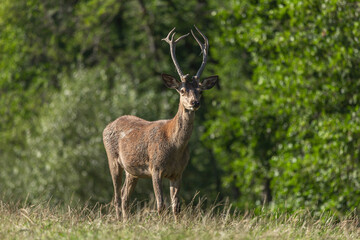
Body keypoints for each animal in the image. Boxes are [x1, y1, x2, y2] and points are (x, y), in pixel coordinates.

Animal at [102, 26, 218, 219]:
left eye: (201, 91)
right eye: (182, 90)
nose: (195, 103)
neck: (174, 145)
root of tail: (107, 126)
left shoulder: (178, 172)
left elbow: (176, 207)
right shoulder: (155, 167)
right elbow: (161, 205)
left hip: (132, 171)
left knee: (125, 197)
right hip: (113, 159)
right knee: (117, 197)